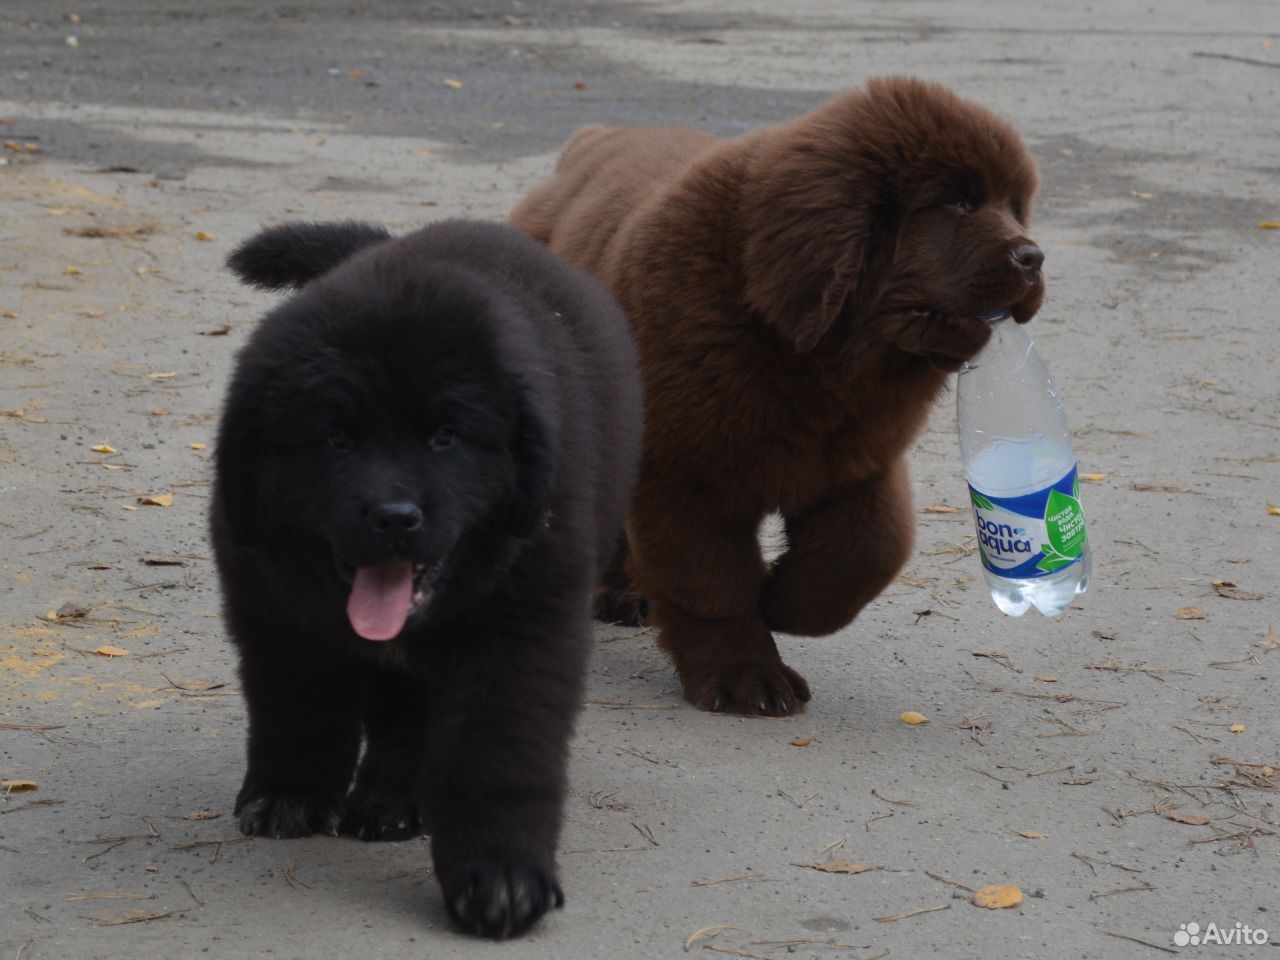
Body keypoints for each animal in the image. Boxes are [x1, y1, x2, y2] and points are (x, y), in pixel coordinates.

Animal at [216, 217, 650, 942]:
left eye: (445, 437)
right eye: (335, 439)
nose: (395, 517)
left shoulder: (520, 630)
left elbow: (495, 754)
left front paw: (500, 878)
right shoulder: (273, 609)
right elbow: (296, 703)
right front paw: (289, 794)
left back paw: (391, 800)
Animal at [504, 77, 1044, 716]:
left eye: (1015, 206)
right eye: (956, 203)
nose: (1033, 256)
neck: (809, 362)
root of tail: (587, 145)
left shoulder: (857, 462)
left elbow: (867, 553)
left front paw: (782, 602)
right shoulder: (684, 478)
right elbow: (712, 585)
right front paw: (746, 677)